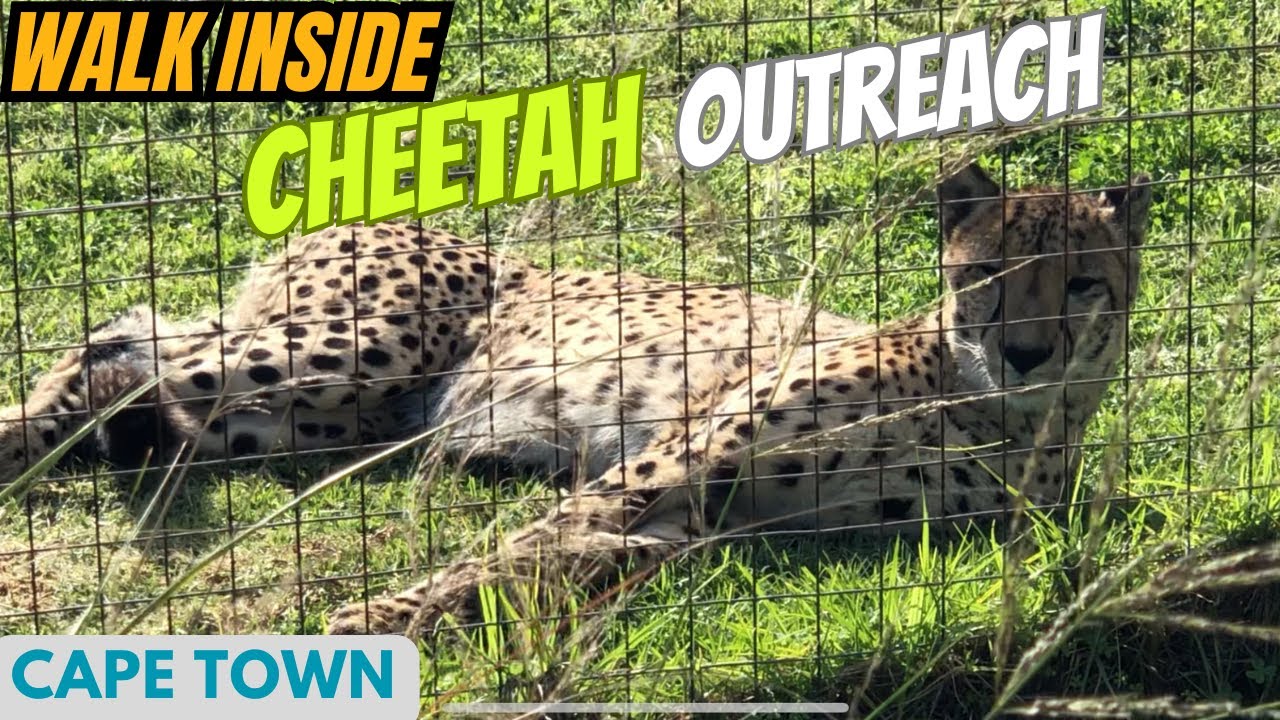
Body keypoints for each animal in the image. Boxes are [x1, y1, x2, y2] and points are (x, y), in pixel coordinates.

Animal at [325, 163, 1152, 636]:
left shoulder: (718, 511)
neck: (982, 407)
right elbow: (534, 541)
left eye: (1083, 282)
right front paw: (388, 614)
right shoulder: (686, 452)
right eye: (987, 274)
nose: (1026, 355)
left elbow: (579, 554)